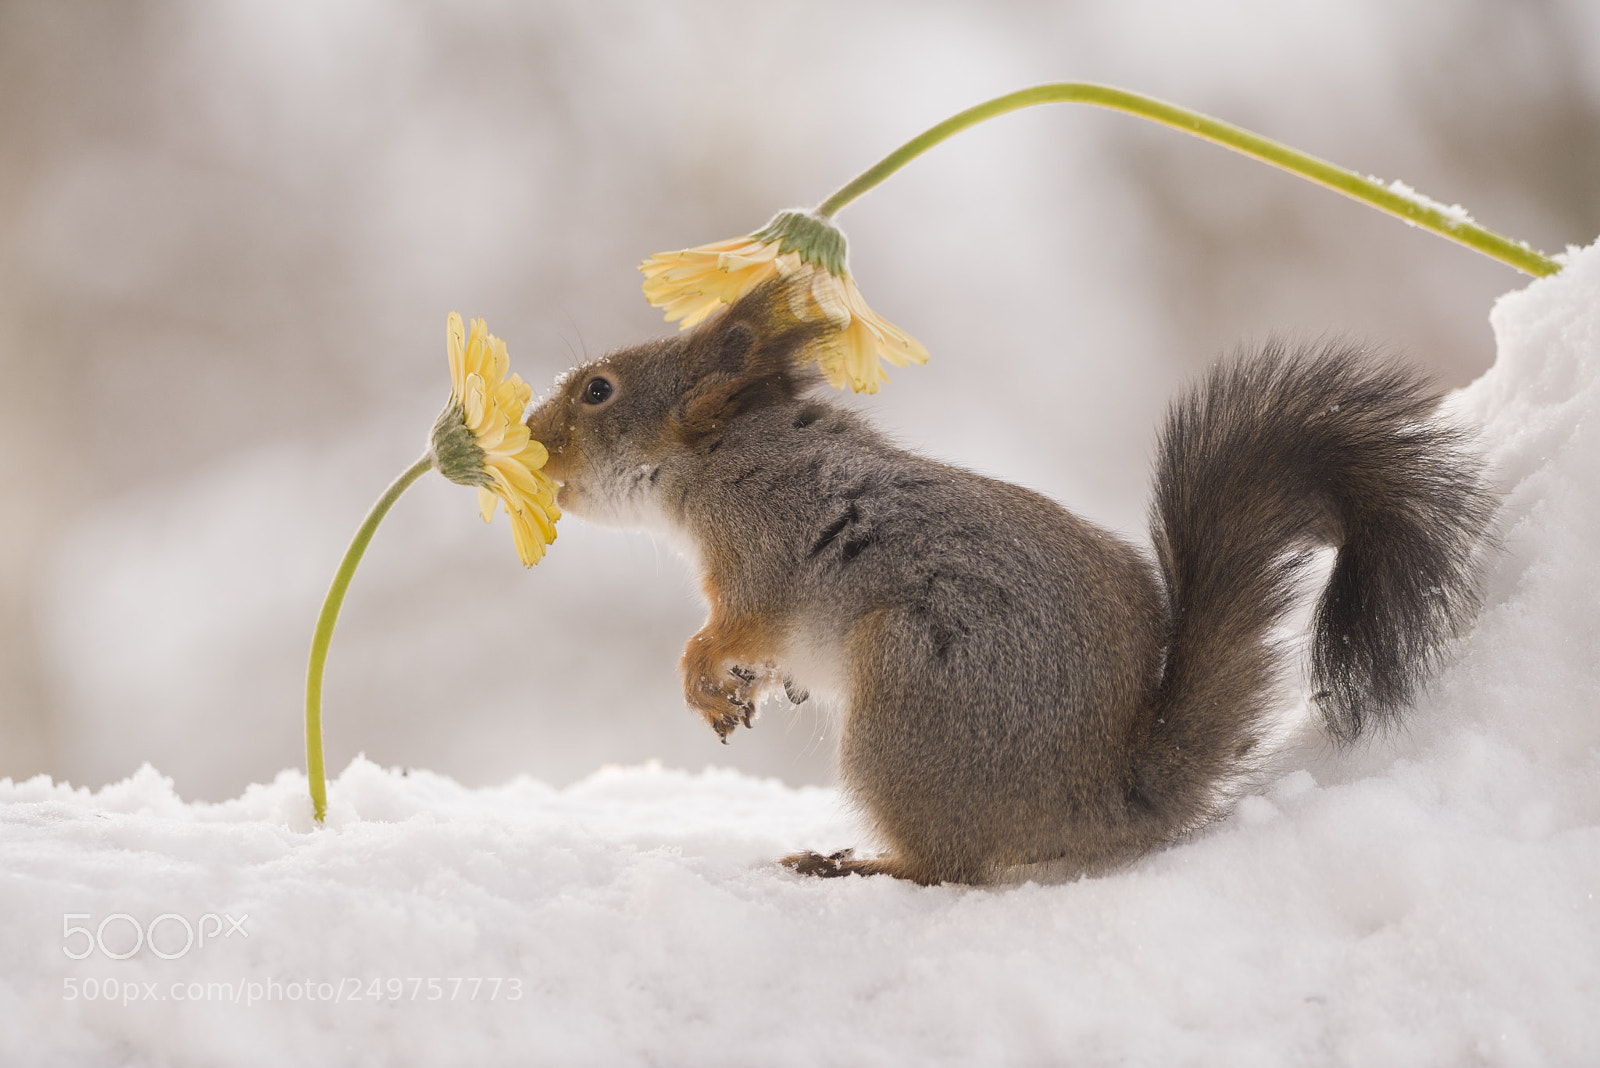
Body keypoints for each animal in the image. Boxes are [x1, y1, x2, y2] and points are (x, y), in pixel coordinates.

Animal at [525, 281, 1496, 886]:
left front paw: (702, 675)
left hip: (909, 685)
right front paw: (747, 693)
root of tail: (1090, 800)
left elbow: (733, 628)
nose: (532, 440)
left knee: (948, 867)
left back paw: (853, 866)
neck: (718, 455)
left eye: (598, 390)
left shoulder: (764, 548)